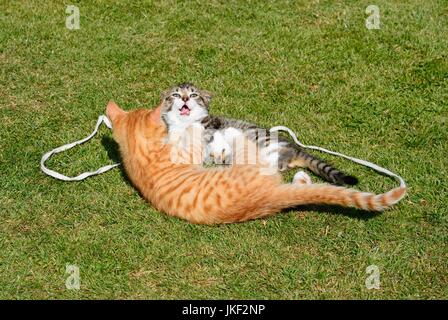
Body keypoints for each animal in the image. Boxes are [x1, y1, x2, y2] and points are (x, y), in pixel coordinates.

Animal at [159, 82, 358, 185]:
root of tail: (296, 149)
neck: (184, 124)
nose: (185, 98)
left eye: (194, 95)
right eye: (176, 95)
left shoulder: (211, 127)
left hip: (265, 143)